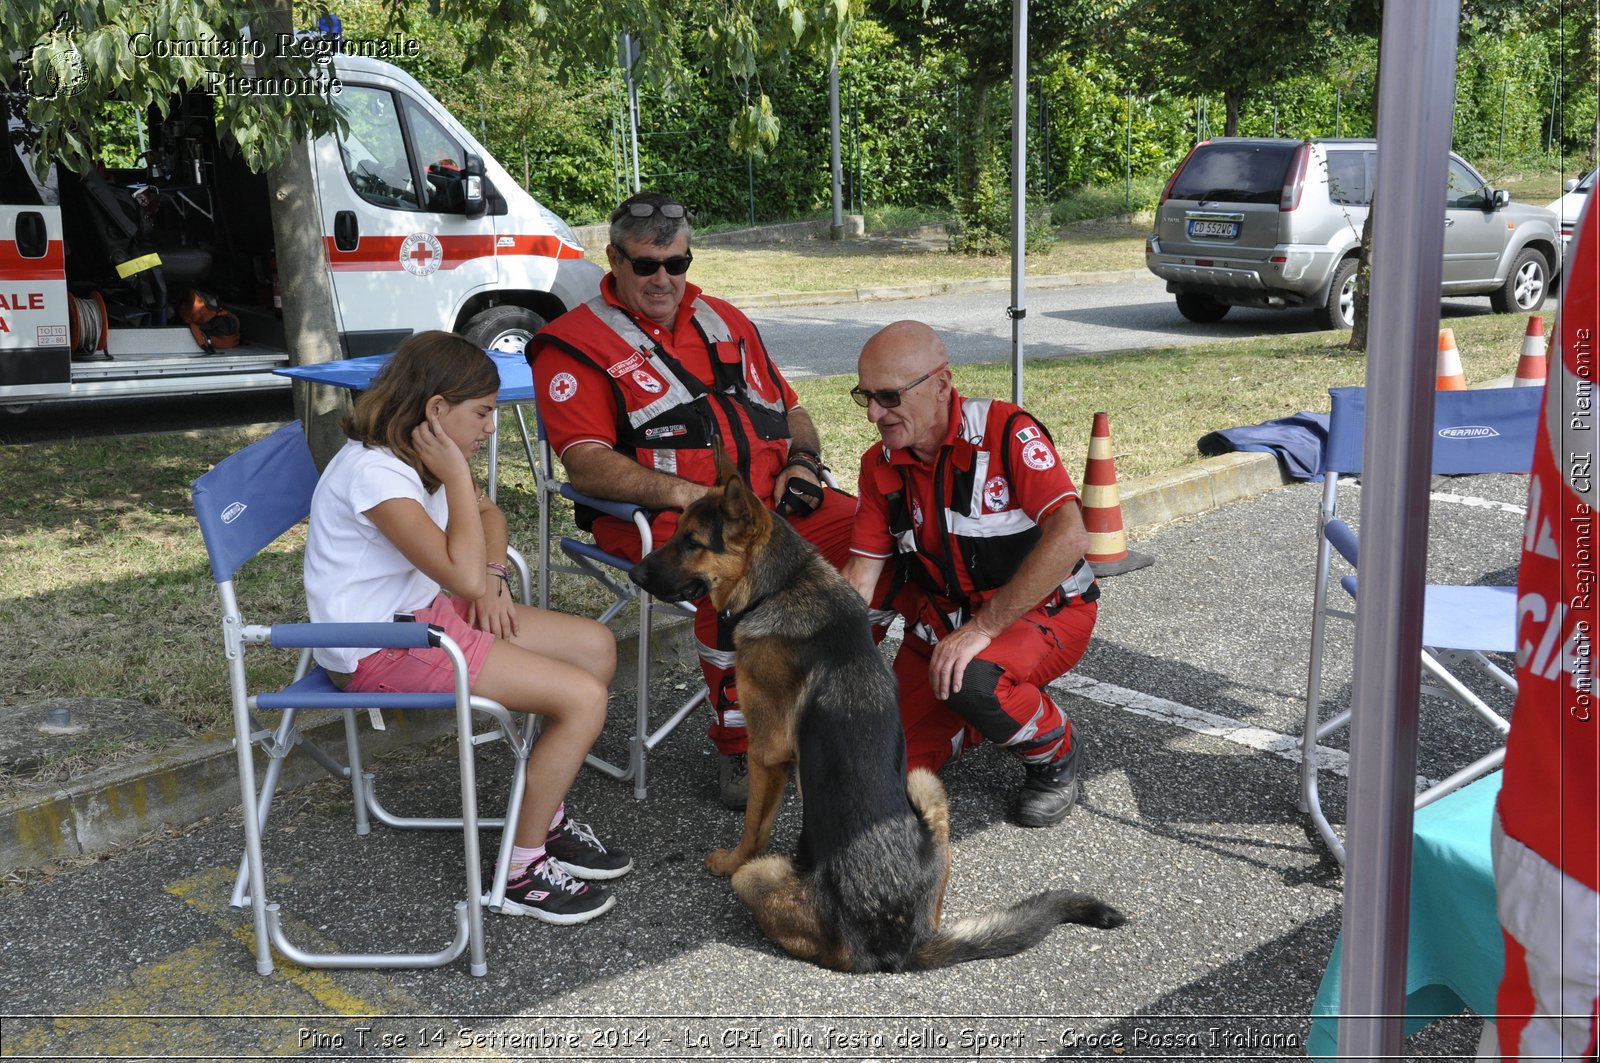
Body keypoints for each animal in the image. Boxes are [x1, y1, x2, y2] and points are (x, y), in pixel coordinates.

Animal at [624, 451, 1126, 973]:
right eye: (677, 531)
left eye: (692, 542)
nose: (634, 576)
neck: (782, 584)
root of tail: (903, 944)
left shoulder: (766, 754)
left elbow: (753, 828)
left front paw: (728, 858)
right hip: (925, 785)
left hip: (767, 877)